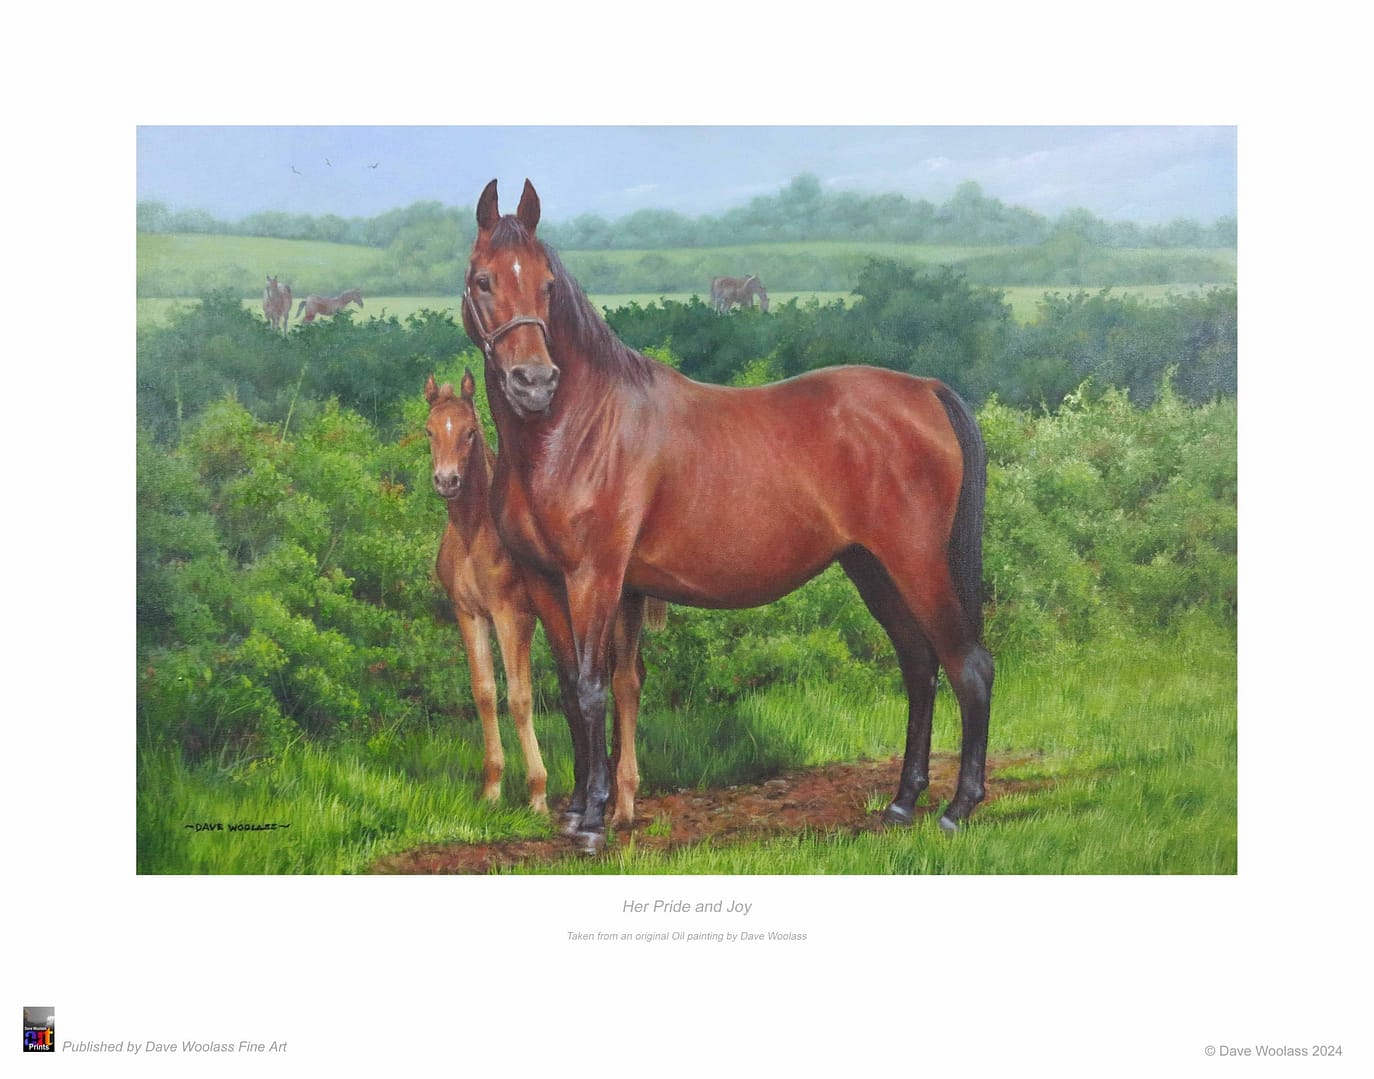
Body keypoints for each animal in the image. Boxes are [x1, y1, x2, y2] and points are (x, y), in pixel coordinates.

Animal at [424, 371, 663, 820]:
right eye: (429, 430)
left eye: (470, 432)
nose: (447, 481)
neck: (474, 533)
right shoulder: (469, 614)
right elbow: (484, 693)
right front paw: (491, 789)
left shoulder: (512, 615)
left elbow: (519, 697)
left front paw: (536, 793)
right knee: (622, 677)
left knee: (627, 679)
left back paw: (622, 794)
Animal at [462, 179, 993, 855]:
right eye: (483, 280)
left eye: (548, 285)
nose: (533, 381)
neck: (574, 430)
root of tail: (924, 389)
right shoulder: (544, 581)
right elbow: (568, 690)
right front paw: (577, 808)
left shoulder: (595, 578)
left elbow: (592, 689)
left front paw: (594, 824)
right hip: (870, 569)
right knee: (920, 667)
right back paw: (901, 804)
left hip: (916, 564)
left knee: (968, 666)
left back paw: (958, 808)